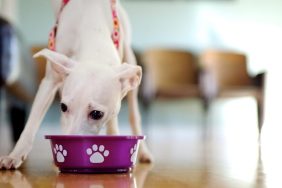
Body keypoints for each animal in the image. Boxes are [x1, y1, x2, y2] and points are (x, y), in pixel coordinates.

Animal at [0, 0, 152, 170]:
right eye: (63, 107)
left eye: (97, 114)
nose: (70, 145)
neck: (92, 28)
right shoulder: (49, 81)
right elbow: (31, 123)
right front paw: (15, 155)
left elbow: (114, 123)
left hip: (129, 56)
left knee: (134, 115)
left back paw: (143, 152)